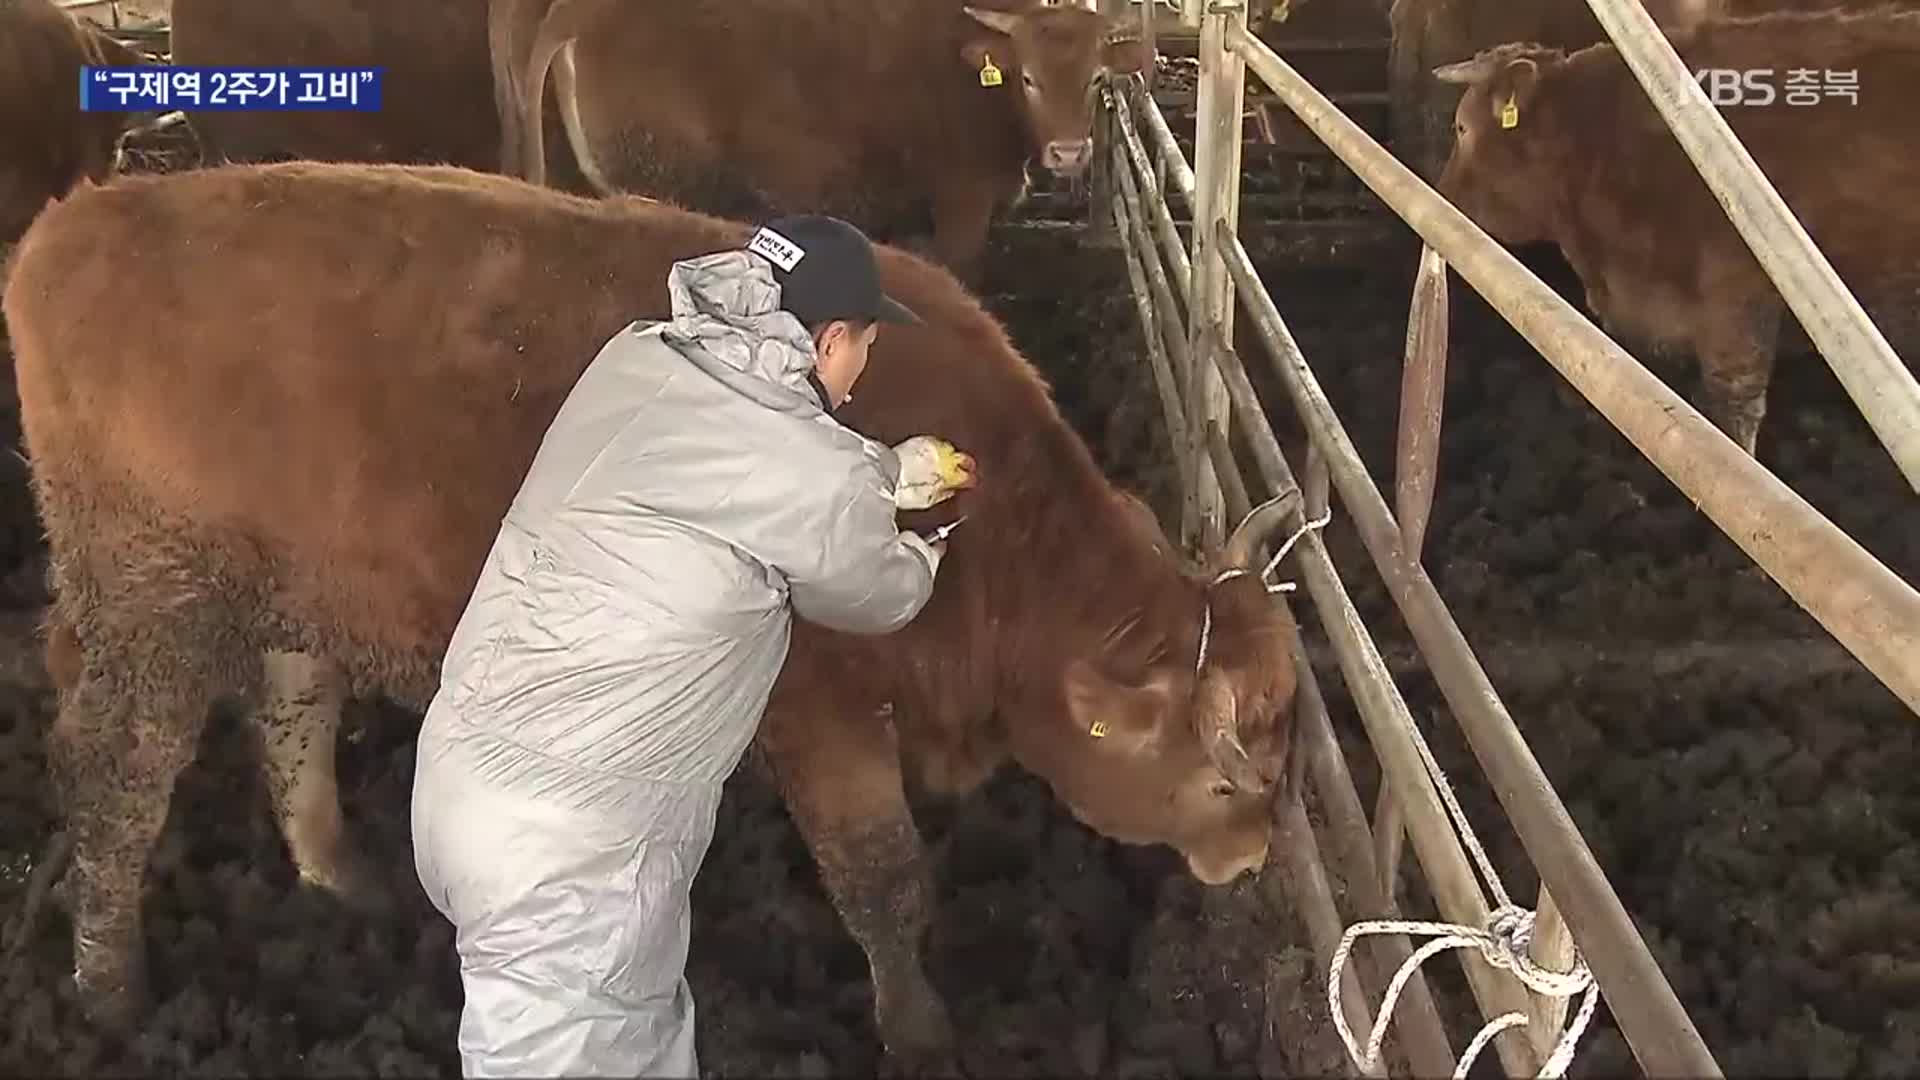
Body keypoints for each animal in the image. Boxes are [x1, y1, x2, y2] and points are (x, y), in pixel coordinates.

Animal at [0, 159, 1305, 1068]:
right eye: (1224, 777)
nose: (1252, 857)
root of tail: (81, 221)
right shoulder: (821, 714)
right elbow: (883, 876)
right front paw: (923, 1031)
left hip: (279, 588)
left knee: (293, 712)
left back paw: (340, 879)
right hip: (149, 599)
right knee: (114, 778)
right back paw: (108, 994)